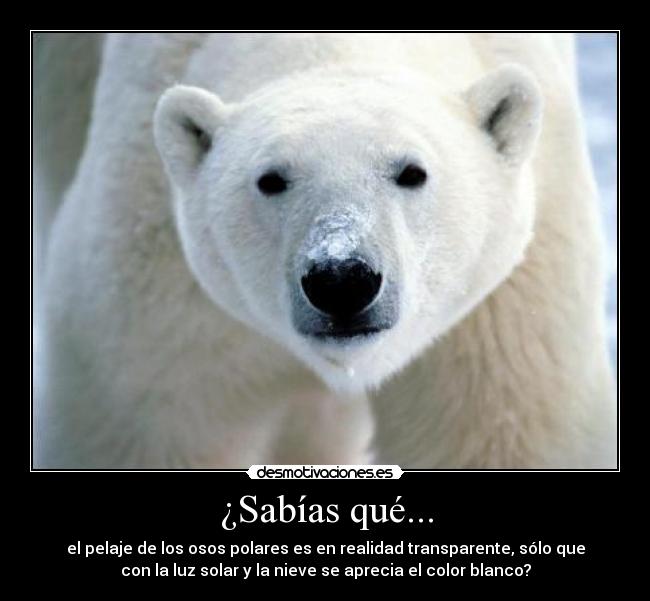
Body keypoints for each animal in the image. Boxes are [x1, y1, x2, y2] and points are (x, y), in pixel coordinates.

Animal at [35, 32, 615, 469]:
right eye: (271, 179)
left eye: (412, 171)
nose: (342, 280)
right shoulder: (158, 288)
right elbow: (149, 424)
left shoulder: (504, 313)